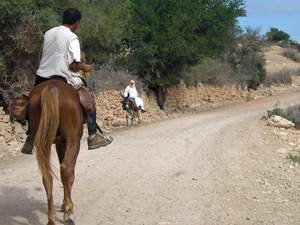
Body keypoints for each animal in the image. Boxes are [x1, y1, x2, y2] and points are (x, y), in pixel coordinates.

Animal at [29, 79, 83, 225]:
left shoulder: (60, 144)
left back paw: (51, 218)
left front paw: (64, 206)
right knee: (66, 169)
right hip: (73, 140)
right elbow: (69, 174)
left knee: (47, 174)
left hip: (43, 141)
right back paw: (70, 213)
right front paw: (66, 208)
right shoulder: (69, 142)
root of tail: (50, 88)